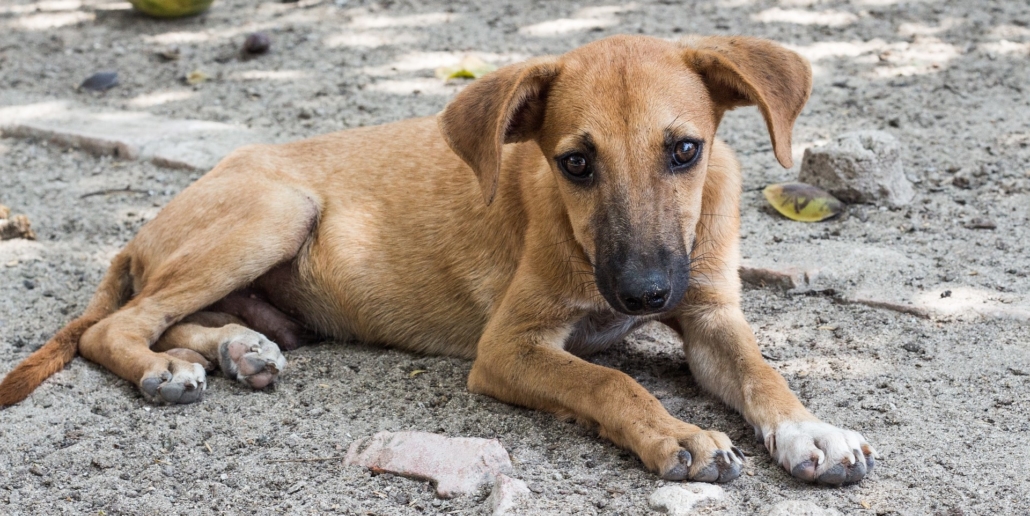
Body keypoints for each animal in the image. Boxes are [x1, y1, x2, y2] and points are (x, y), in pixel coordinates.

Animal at [0, 35, 877, 482]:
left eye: (685, 150)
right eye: (575, 164)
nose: (644, 293)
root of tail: (141, 230)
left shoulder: (711, 316)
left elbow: (764, 374)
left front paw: (812, 431)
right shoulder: (509, 348)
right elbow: (609, 380)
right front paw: (678, 436)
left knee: (184, 318)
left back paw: (238, 349)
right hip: (276, 210)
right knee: (115, 327)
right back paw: (164, 368)